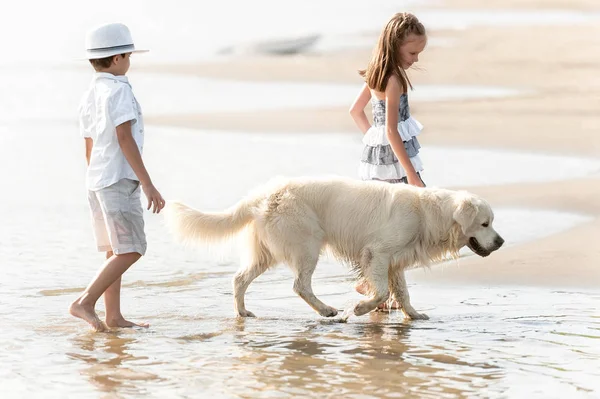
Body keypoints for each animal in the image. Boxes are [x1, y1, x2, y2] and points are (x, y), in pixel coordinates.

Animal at [164, 177, 502, 320]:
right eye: (485, 223)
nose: (500, 242)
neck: (429, 214)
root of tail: (263, 193)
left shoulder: (395, 261)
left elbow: (402, 293)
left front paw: (414, 315)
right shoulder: (377, 253)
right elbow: (380, 292)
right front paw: (360, 309)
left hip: (267, 251)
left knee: (239, 279)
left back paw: (243, 312)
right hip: (306, 244)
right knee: (300, 285)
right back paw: (326, 310)